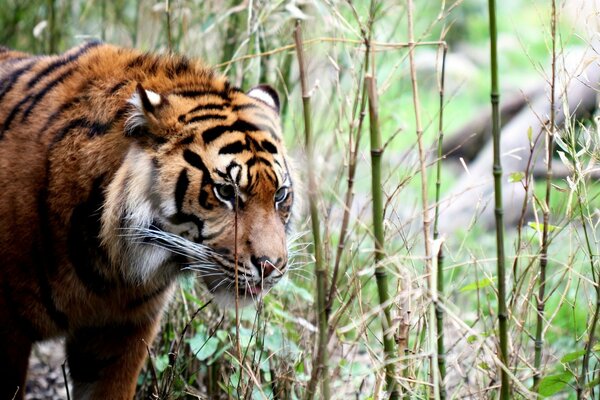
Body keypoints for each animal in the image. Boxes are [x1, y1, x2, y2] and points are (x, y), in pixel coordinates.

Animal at [0, 41, 296, 400]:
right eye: (225, 191)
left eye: (280, 195)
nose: (271, 266)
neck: (109, 267)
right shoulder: (8, 330)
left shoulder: (121, 333)